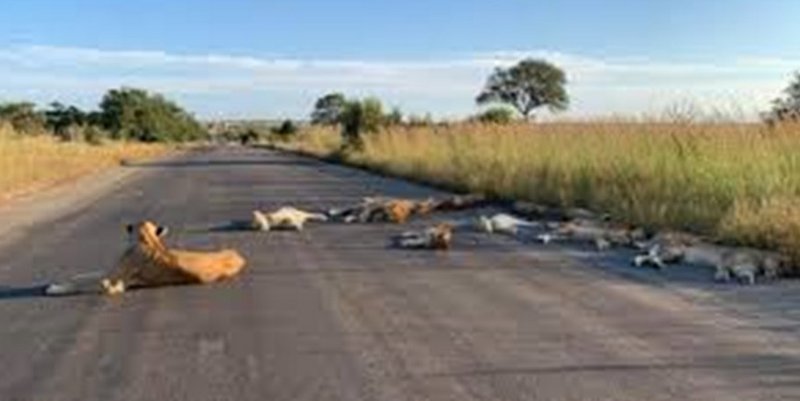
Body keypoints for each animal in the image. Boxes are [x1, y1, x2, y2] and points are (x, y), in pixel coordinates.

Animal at [45, 221, 246, 296]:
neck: (149, 240)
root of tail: (239, 257)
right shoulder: (119, 278)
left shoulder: (115, 276)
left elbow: (84, 280)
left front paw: (55, 287)